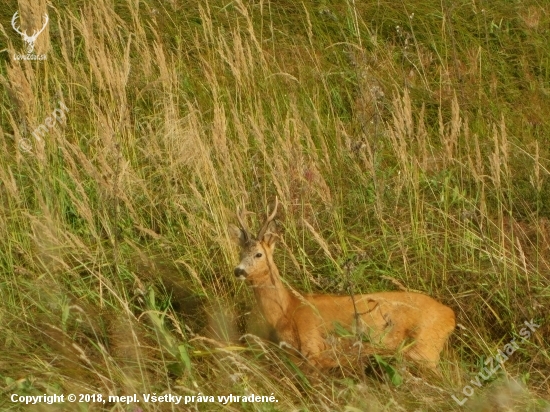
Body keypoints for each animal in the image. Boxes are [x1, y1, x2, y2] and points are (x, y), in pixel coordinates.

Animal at [230, 197, 458, 370]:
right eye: (240, 252)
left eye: (259, 254)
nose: (238, 271)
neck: (287, 311)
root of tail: (450, 315)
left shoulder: (312, 345)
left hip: (425, 349)